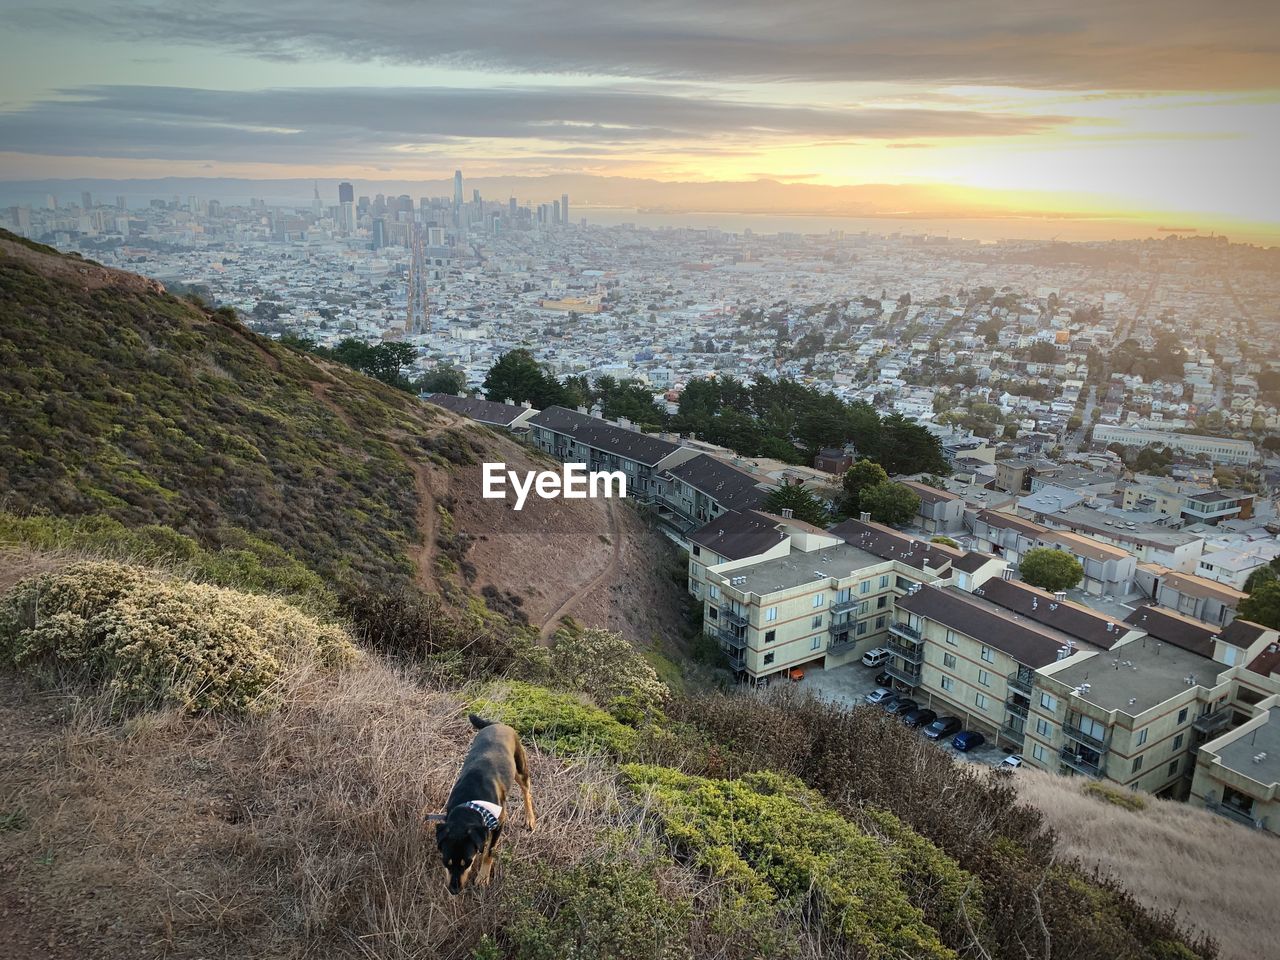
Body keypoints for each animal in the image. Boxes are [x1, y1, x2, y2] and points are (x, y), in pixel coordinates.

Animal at [424, 716, 535, 896]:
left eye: (468, 862)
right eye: (446, 862)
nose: (454, 890)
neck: (471, 803)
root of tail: (497, 724)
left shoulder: (500, 821)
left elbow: (489, 852)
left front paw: (482, 878)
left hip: (520, 768)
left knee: (527, 791)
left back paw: (530, 818)